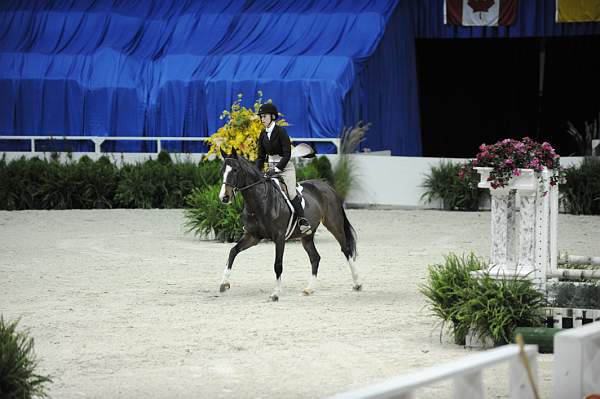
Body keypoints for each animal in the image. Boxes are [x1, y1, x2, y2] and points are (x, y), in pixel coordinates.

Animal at [219, 152, 360, 302]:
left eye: (235, 170)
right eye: (222, 171)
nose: (224, 197)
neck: (261, 201)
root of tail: (327, 187)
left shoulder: (279, 238)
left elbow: (277, 264)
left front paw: (275, 293)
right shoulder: (253, 236)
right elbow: (233, 251)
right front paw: (224, 284)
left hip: (334, 225)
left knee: (346, 250)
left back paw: (357, 284)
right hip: (307, 236)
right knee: (315, 258)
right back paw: (309, 289)